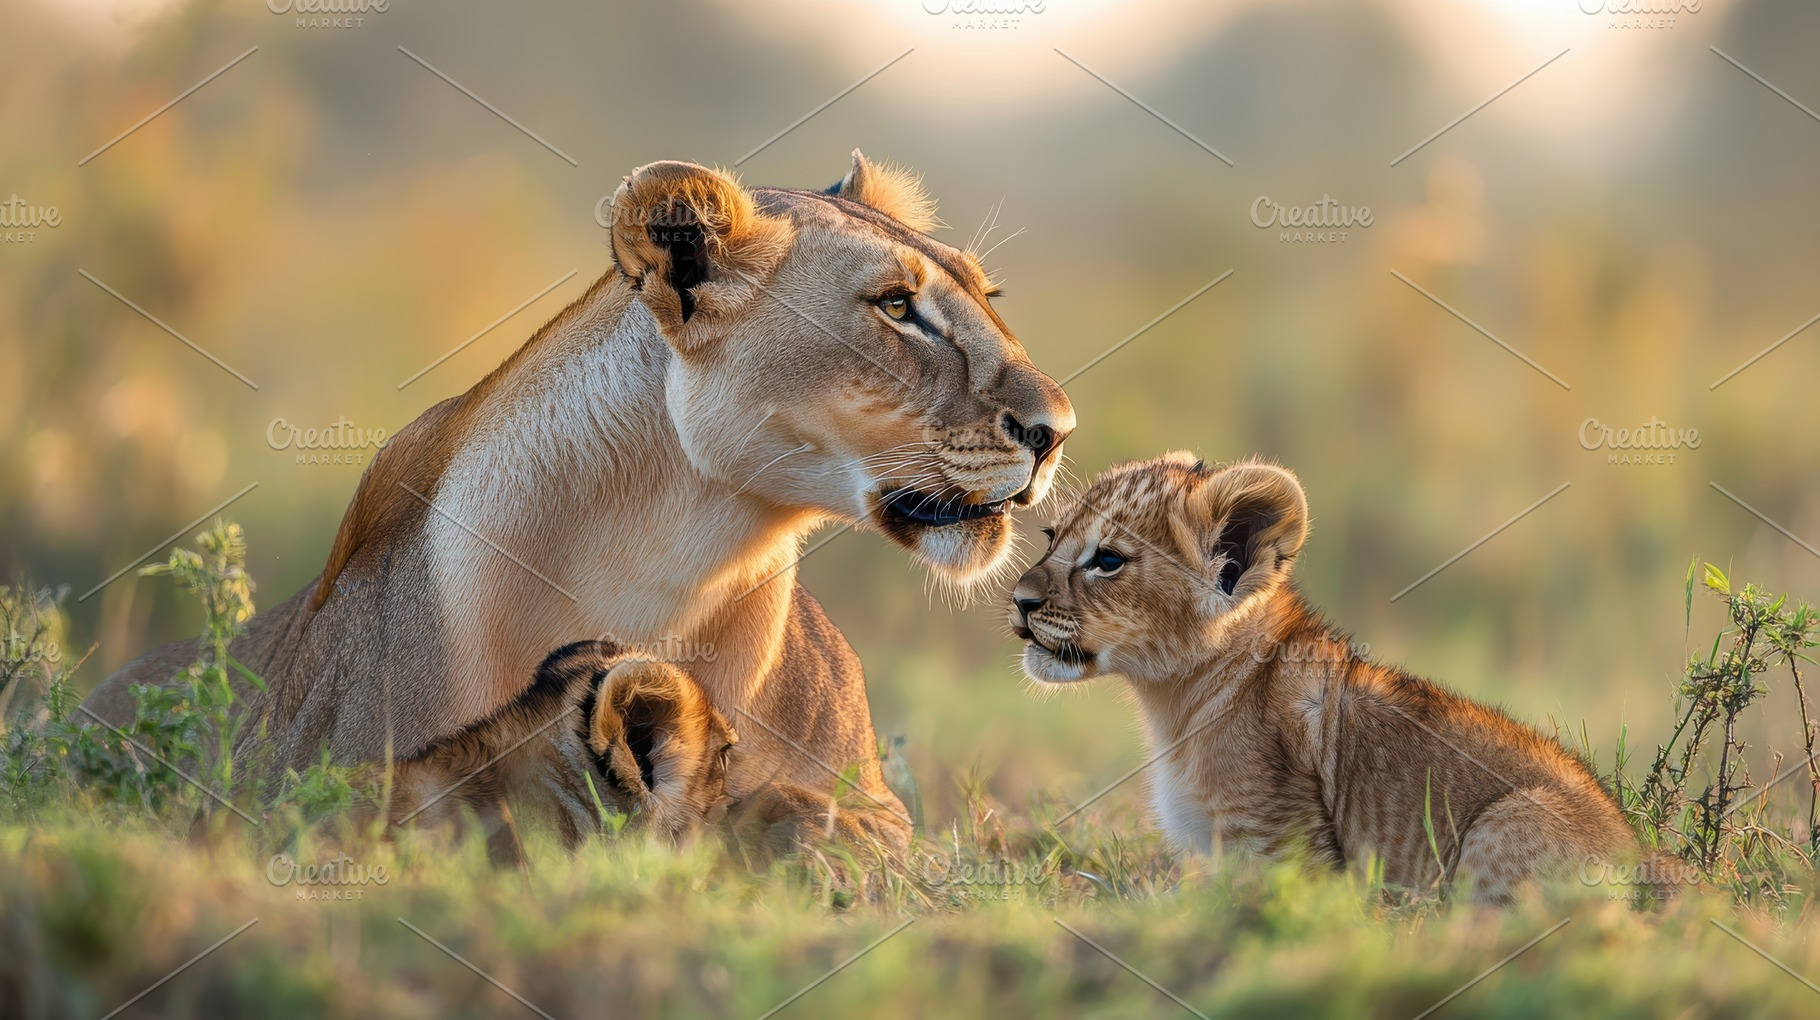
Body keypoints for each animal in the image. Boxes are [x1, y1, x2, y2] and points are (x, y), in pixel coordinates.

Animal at [85, 152, 1074, 854]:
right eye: (897, 306)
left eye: (987, 297)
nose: (1057, 430)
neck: (674, 569)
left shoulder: (879, 809)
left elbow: (831, 823)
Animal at [1009, 454, 1638, 902]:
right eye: (1050, 538)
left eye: (1108, 560)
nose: (1019, 600)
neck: (1175, 701)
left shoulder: (1286, 850)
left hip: (1505, 822)